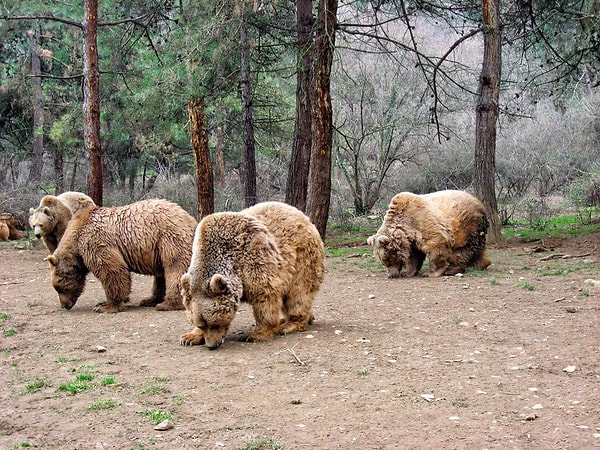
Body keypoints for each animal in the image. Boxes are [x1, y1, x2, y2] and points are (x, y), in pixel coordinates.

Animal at [47, 200, 197, 312]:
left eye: (58, 286)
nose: (64, 305)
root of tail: (190, 218)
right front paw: (103, 302)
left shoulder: (95, 241)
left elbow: (111, 270)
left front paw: (106, 306)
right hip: (159, 248)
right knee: (161, 274)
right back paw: (150, 300)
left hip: (169, 238)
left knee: (175, 268)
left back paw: (168, 304)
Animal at [180, 202, 326, 350]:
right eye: (201, 324)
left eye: (215, 323)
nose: (212, 345)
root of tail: (304, 217)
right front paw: (189, 337)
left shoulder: (254, 256)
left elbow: (264, 295)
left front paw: (255, 334)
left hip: (302, 258)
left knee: (299, 293)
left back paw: (289, 324)